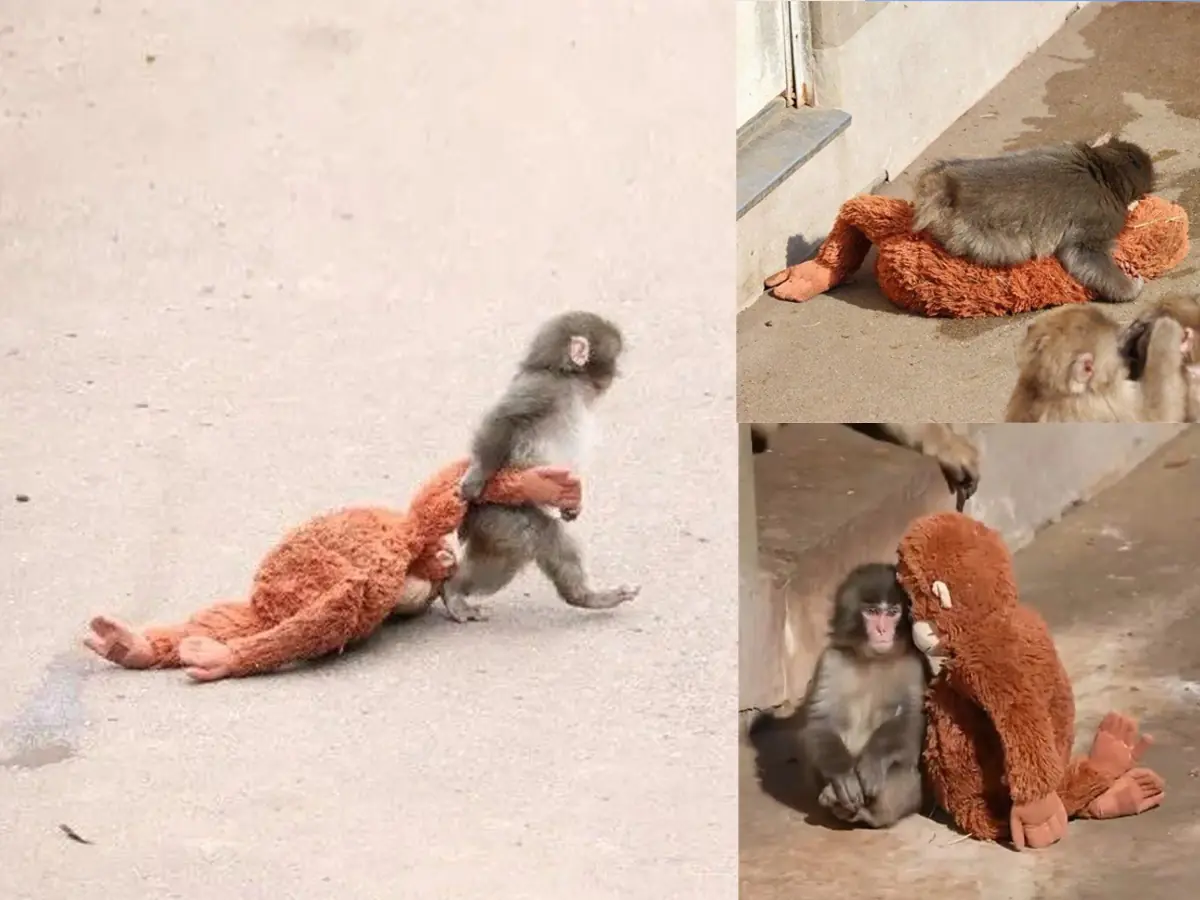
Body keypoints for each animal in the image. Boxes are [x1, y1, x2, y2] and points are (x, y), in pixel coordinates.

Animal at [442, 310, 640, 623]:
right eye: (614, 358)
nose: (616, 374)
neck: (566, 378)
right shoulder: (543, 389)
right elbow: (504, 418)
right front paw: (476, 478)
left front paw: (572, 506)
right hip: (501, 515)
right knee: (532, 541)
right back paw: (452, 592)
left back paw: (588, 597)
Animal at [799, 562, 928, 829]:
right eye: (871, 612)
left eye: (892, 613)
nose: (882, 630)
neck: (873, 659)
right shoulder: (831, 661)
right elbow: (820, 721)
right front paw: (843, 774)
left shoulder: (913, 665)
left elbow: (911, 718)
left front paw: (873, 762)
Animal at [912, 134, 1155, 303]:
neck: (1102, 170)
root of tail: (948, 186)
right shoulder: (1102, 217)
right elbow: (1082, 253)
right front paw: (1130, 287)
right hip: (973, 233)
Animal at [1004, 304, 1192, 423]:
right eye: (1119, 351)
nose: (1129, 361)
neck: (1050, 392)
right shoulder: (1104, 405)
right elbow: (1157, 416)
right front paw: (1165, 328)